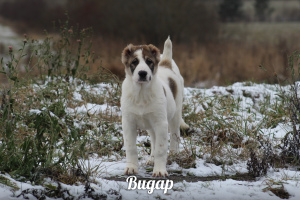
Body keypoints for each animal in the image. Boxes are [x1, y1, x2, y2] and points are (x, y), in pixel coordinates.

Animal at [120, 36, 188, 177]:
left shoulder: (161, 123)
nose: (142, 73)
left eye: (149, 62)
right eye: (134, 62)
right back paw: (152, 159)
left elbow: (161, 149)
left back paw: (173, 155)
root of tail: (166, 63)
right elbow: (131, 148)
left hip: (175, 115)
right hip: (151, 125)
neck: (141, 94)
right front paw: (131, 168)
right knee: (153, 139)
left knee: (175, 135)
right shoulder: (128, 123)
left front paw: (160, 170)